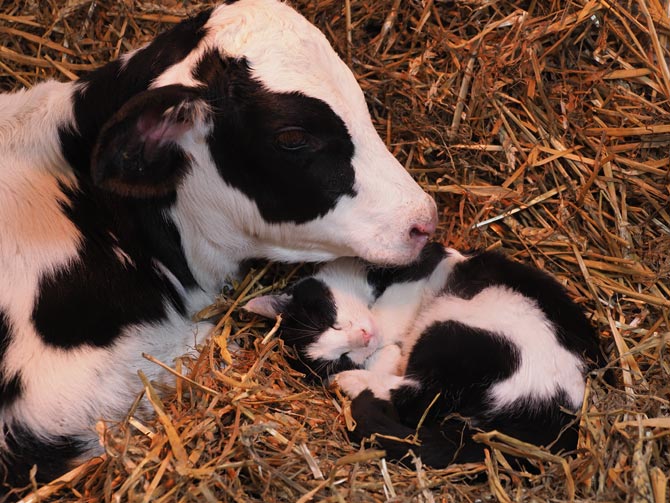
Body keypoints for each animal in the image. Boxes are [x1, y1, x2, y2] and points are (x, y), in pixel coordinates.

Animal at [245, 244, 604, 468]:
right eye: (343, 354)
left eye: (333, 322)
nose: (363, 338)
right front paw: (374, 358)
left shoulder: (420, 266)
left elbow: (392, 314)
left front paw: (383, 348)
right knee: (421, 397)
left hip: (457, 332)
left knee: (421, 397)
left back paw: (351, 381)